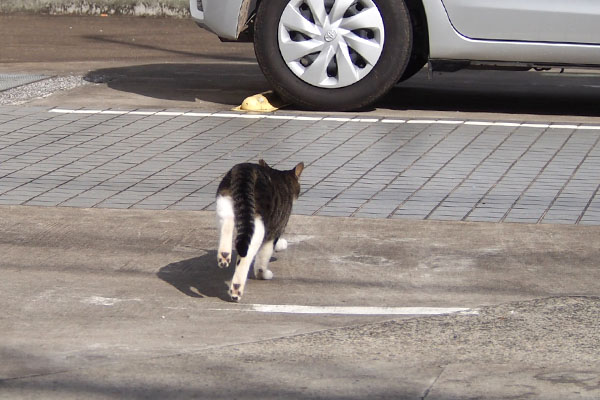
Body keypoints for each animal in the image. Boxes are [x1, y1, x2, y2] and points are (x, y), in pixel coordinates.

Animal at [216, 159, 304, 300]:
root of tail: (247, 169)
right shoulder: (276, 227)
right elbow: (264, 256)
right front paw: (263, 274)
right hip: (258, 225)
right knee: (245, 257)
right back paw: (236, 289)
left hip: (224, 203)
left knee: (227, 224)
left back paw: (224, 255)